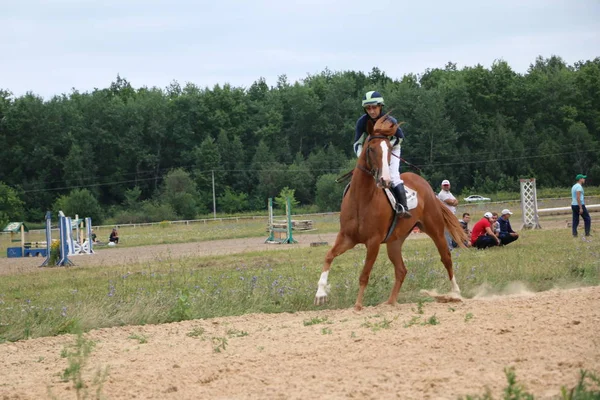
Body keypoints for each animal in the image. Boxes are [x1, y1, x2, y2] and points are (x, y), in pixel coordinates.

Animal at [314, 115, 468, 310]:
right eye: (371, 149)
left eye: (388, 150)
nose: (385, 180)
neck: (361, 199)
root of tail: (426, 185)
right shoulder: (347, 238)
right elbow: (328, 256)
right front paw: (320, 294)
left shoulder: (373, 242)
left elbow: (364, 274)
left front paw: (358, 305)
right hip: (395, 241)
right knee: (401, 270)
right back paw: (390, 302)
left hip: (435, 230)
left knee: (446, 258)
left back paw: (455, 293)